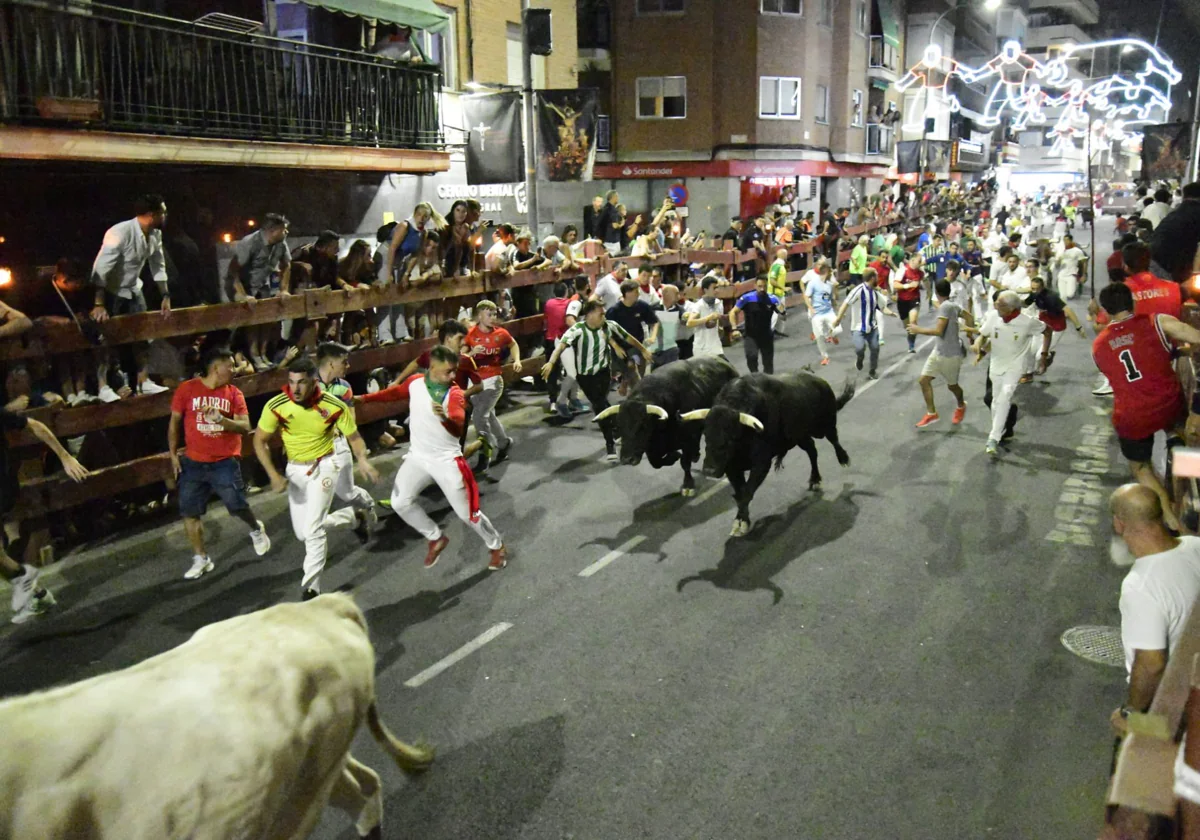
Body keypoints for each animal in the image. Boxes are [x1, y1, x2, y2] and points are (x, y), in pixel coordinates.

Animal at [600, 357, 739, 494]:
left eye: (642, 426)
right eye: (618, 427)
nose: (627, 459)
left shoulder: (687, 440)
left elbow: (684, 462)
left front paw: (688, 484)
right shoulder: (652, 447)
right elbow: (656, 462)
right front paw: (674, 456)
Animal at [686, 372, 854, 537]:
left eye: (731, 438)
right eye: (705, 435)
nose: (709, 471)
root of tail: (820, 381)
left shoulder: (761, 463)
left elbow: (747, 491)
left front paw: (740, 524)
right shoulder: (732, 468)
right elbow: (740, 493)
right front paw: (742, 520)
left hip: (824, 425)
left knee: (833, 438)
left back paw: (843, 459)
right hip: (800, 436)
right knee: (812, 450)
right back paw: (814, 479)